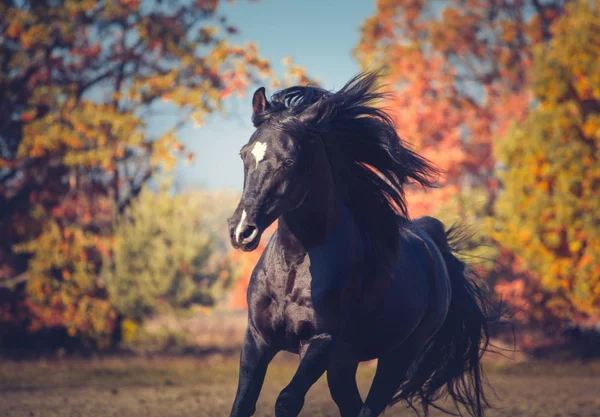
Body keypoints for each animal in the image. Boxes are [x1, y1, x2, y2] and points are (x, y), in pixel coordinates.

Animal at [227, 72, 494, 416]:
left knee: (370, 405)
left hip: (397, 356)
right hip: (345, 362)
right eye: (245, 154)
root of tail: (433, 244)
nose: (241, 231)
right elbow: (244, 402)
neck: (294, 265)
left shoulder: (320, 342)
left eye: (289, 161)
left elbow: (287, 400)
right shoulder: (258, 338)